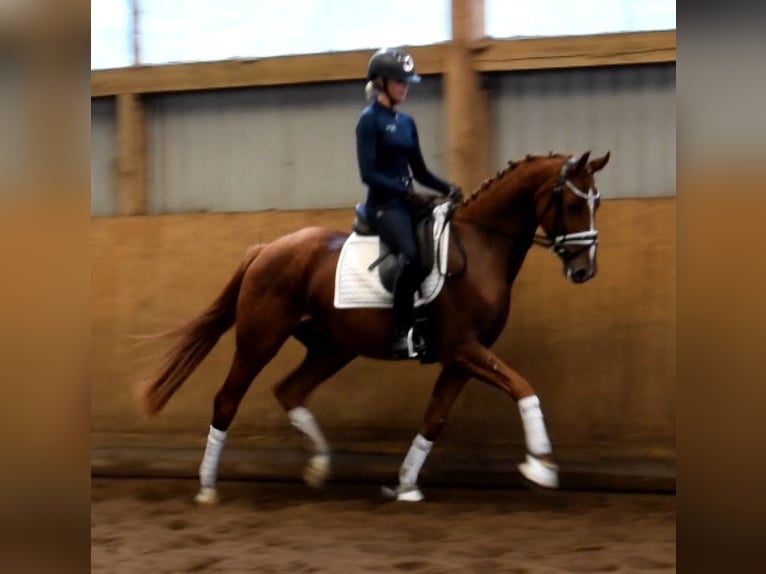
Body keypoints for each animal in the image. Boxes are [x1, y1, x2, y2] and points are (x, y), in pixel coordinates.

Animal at [141, 150, 612, 504]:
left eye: (597, 204)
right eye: (574, 205)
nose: (584, 271)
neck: (480, 247)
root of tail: (265, 250)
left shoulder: (461, 358)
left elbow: (435, 418)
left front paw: (405, 485)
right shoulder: (463, 347)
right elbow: (523, 387)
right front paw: (541, 467)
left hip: (334, 347)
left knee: (290, 390)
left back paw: (318, 468)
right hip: (260, 340)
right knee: (227, 400)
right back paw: (207, 487)